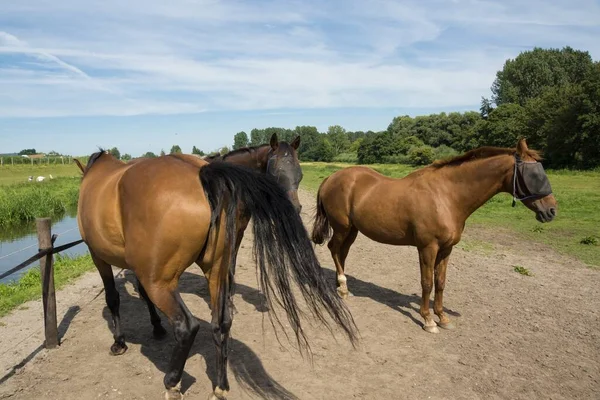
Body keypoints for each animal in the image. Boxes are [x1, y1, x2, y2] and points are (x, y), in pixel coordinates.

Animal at [74, 151, 356, 400]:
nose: (296, 206)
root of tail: (202, 173)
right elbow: (141, 296)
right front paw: (155, 327)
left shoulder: (98, 257)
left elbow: (113, 298)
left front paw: (119, 342)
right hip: (216, 269)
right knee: (221, 323)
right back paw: (220, 387)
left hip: (160, 282)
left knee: (187, 326)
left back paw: (172, 384)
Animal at [312, 139, 556, 332]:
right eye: (533, 174)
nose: (551, 211)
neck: (446, 196)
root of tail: (331, 178)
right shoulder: (427, 248)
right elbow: (427, 282)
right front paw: (428, 320)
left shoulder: (447, 249)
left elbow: (440, 282)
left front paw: (443, 318)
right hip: (342, 227)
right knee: (334, 249)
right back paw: (342, 287)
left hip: (352, 230)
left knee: (342, 253)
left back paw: (340, 286)